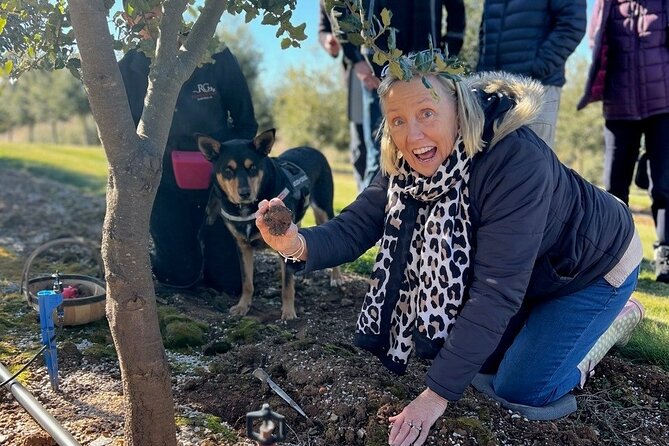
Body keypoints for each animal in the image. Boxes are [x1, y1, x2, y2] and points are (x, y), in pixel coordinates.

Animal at [197, 127, 344, 318]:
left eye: (252, 168)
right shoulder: (243, 246)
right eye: (228, 170)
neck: (249, 209)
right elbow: (247, 281)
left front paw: (288, 312)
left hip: (323, 209)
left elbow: (287, 285)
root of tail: (312, 148)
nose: (244, 193)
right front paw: (243, 306)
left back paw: (336, 277)